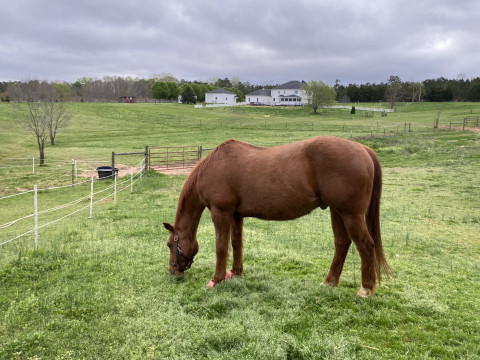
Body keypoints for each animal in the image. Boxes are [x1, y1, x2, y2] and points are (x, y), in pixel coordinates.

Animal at [165, 136, 390, 296]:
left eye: (169, 245)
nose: (173, 272)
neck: (214, 167)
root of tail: (363, 149)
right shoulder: (236, 215)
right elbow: (237, 244)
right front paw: (235, 273)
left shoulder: (221, 212)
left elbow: (221, 247)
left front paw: (217, 279)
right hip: (337, 212)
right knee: (342, 244)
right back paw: (329, 282)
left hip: (351, 214)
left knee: (365, 245)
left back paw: (366, 289)